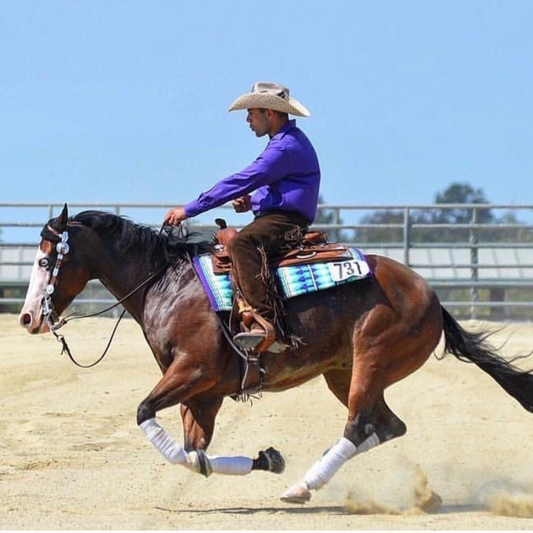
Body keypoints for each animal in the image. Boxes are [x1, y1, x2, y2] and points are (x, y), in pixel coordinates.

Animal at [18, 204, 532, 502]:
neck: (168, 283)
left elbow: (147, 415)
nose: (27, 318)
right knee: (387, 425)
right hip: (343, 373)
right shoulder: (203, 394)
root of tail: (433, 296)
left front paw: (264, 463)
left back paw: (303, 486)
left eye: (45, 259)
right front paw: (264, 458)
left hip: (371, 360)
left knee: (360, 425)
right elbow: (192, 451)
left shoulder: (193, 372)